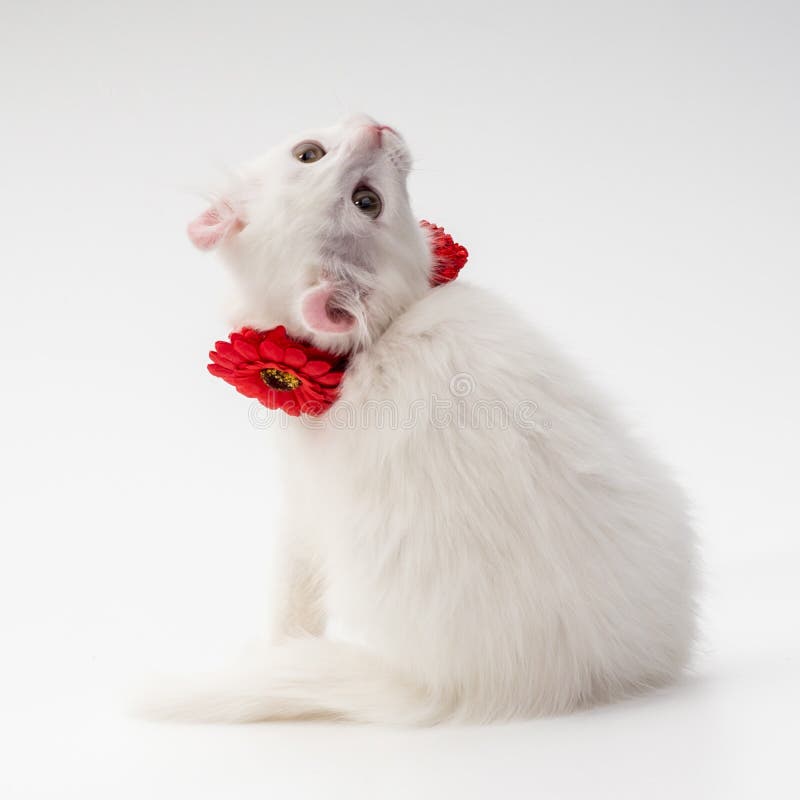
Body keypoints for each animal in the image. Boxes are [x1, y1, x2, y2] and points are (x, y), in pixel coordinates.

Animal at [170, 114, 700, 724]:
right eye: (367, 202)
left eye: (309, 153)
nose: (375, 126)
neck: (370, 342)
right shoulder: (301, 509)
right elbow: (291, 607)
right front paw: (274, 649)